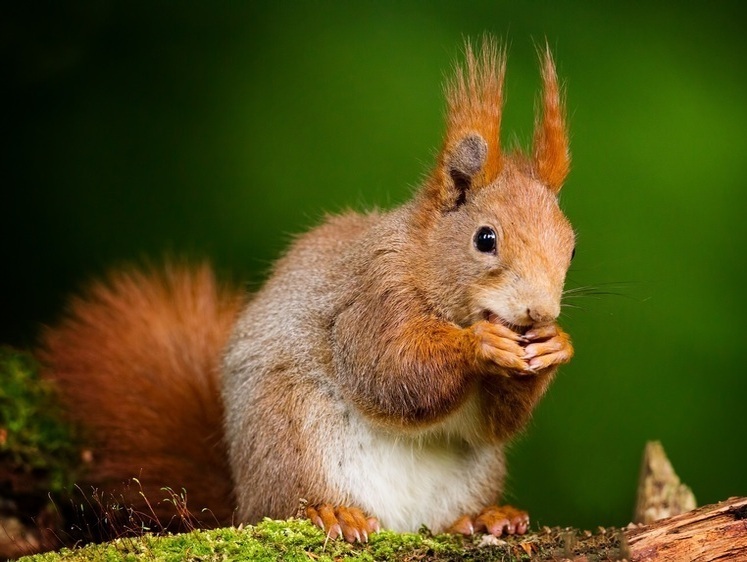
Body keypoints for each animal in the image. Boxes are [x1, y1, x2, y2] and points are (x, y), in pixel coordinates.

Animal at [39, 37, 580, 540]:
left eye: (572, 249)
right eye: (485, 239)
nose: (538, 312)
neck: (424, 259)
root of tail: (244, 498)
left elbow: (496, 422)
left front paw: (556, 346)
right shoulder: (372, 296)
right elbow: (389, 368)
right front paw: (481, 344)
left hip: (473, 470)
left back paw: (482, 517)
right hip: (293, 436)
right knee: (290, 503)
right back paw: (332, 513)